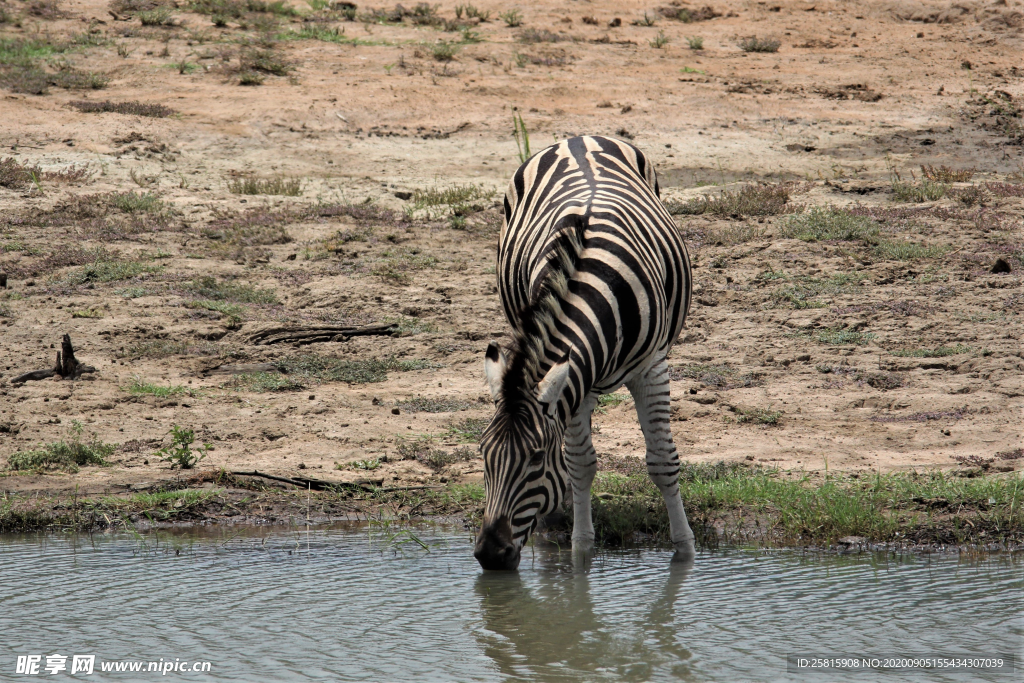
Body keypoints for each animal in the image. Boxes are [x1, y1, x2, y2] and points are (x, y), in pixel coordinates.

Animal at [471, 135, 696, 573]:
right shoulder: (577, 378)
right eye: (483, 455)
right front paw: (580, 549)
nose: (490, 555)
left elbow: (662, 461)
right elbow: (579, 463)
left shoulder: (651, 368)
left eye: (535, 459)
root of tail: (578, 138)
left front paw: (685, 552)